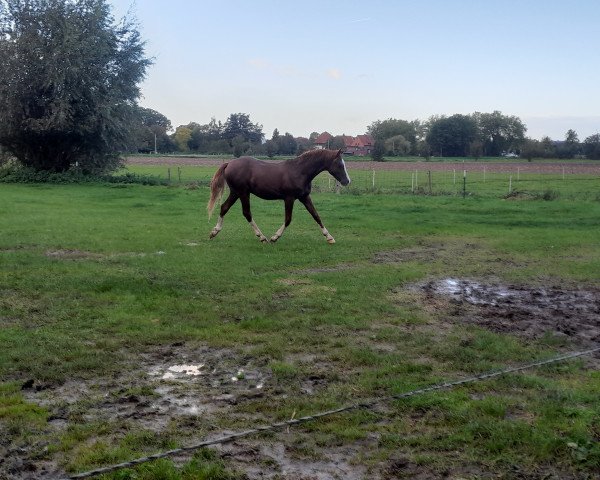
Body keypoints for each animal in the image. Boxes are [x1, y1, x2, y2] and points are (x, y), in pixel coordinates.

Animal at [209, 149, 352, 244]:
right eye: (340, 164)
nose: (347, 181)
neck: (300, 171)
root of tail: (229, 163)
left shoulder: (305, 197)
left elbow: (316, 216)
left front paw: (329, 237)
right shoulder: (289, 198)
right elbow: (288, 219)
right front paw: (275, 237)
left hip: (235, 192)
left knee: (224, 207)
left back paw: (214, 232)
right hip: (243, 193)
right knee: (246, 213)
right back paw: (262, 237)